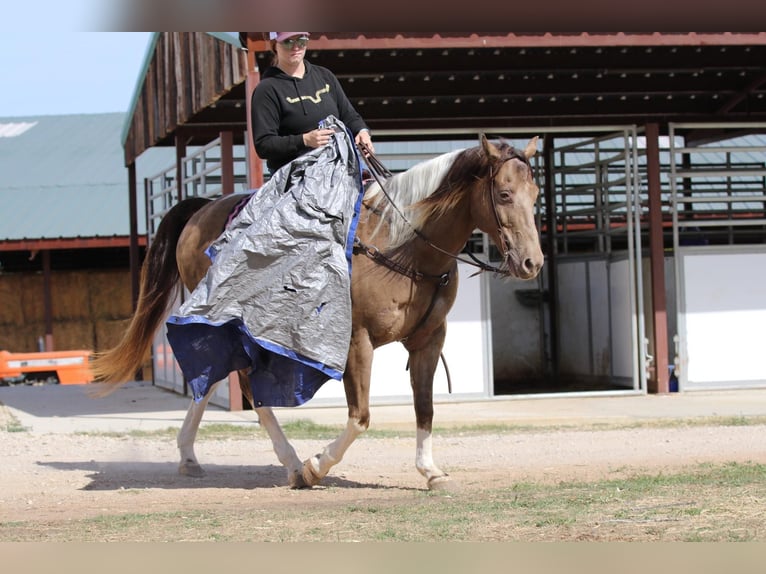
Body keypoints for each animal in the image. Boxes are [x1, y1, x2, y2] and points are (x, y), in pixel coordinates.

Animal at [91, 134, 544, 490]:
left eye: (536, 195)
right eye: (504, 194)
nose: (532, 263)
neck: (402, 244)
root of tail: (203, 209)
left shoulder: (429, 340)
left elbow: (425, 408)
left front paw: (430, 471)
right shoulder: (356, 340)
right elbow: (360, 417)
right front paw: (315, 467)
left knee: (212, 376)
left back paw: (188, 456)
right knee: (249, 387)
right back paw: (292, 464)